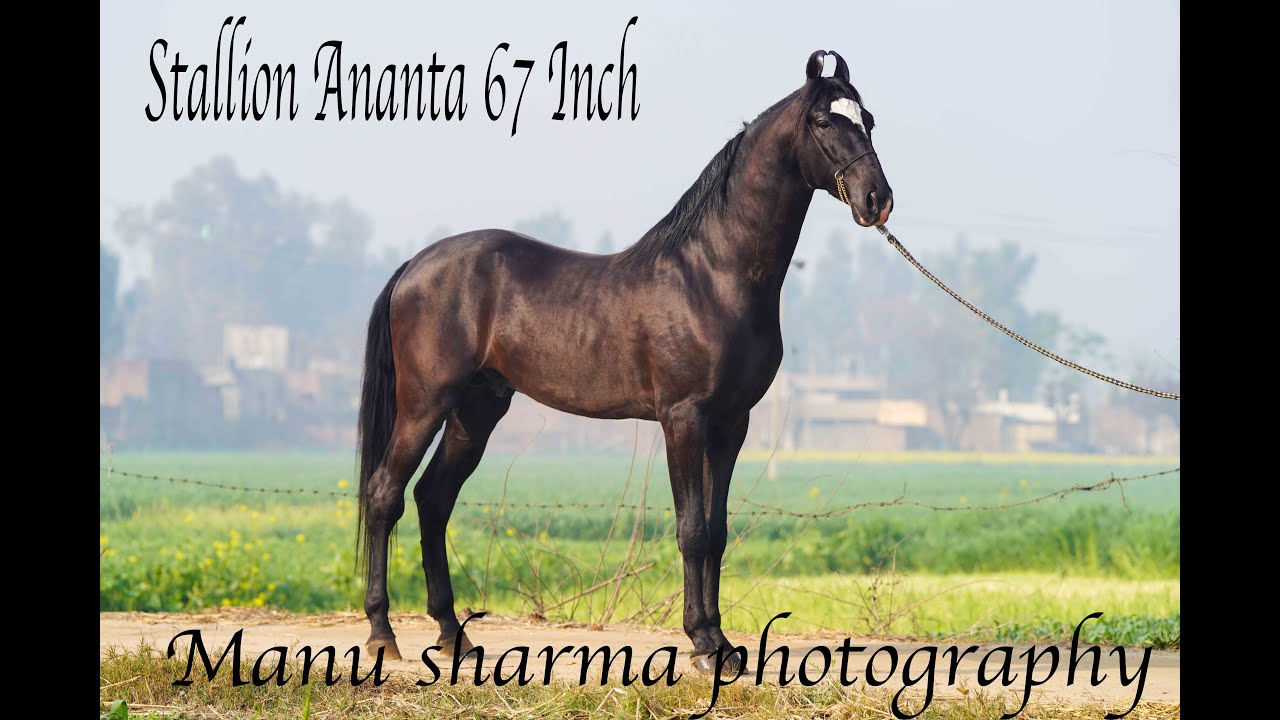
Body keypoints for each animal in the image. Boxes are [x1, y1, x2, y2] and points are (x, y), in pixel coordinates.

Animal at [355, 49, 893, 674]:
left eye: (869, 120)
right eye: (824, 122)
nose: (877, 200)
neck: (714, 273)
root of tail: (415, 264)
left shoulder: (731, 424)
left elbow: (716, 531)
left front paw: (723, 646)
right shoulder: (683, 418)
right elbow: (691, 530)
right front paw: (704, 643)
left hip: (477, 409)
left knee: (433, 499)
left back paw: (453, 635)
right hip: (425, 405)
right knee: (385, 495)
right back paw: (382, 634)